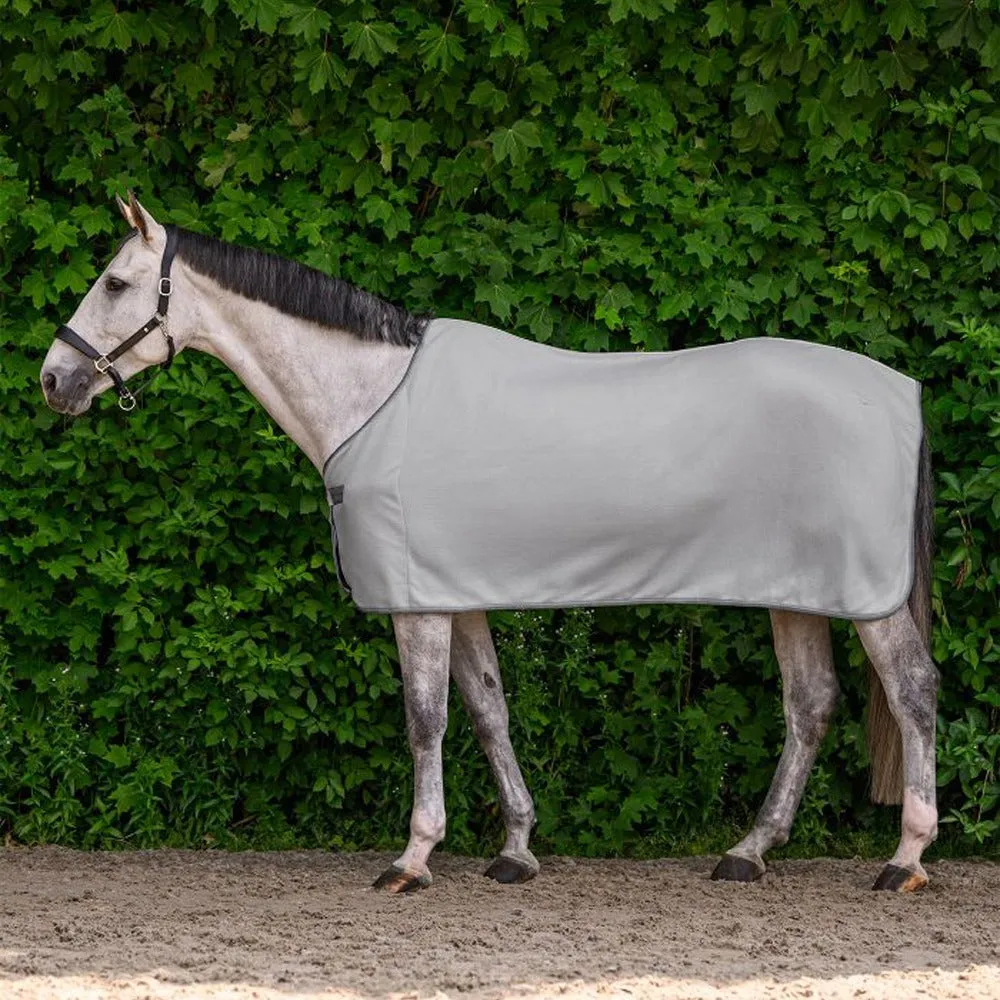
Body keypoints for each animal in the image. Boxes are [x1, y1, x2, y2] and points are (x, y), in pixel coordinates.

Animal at [40, 193, 938, 894]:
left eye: (115, 282)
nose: (54, 379)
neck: (371, 399)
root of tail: (904, 392)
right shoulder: (455, 594)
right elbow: (487, 709)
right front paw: (515, 849)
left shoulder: (418, 604)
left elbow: (426, 719)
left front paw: (413, 857)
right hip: (799, 592)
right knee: (811, 704)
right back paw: (749, 852)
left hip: (871, 598)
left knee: (912, 688)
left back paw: (906, 858)